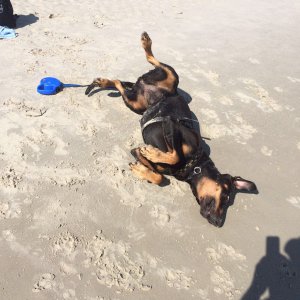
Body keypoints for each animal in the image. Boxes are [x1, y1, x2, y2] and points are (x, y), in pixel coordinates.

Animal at [85, 31, 258, 226]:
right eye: (227, 196)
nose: (218, 221)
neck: (193, 165)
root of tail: (165, 92)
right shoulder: (172, 125)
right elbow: (174, 155)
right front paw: (153, 154)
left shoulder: (136, 151)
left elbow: (159, 176)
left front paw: (141, 169)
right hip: (170, 77)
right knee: (151, 63)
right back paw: (146, 43)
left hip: (135, 103)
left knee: (119, 83)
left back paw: (103, 82)